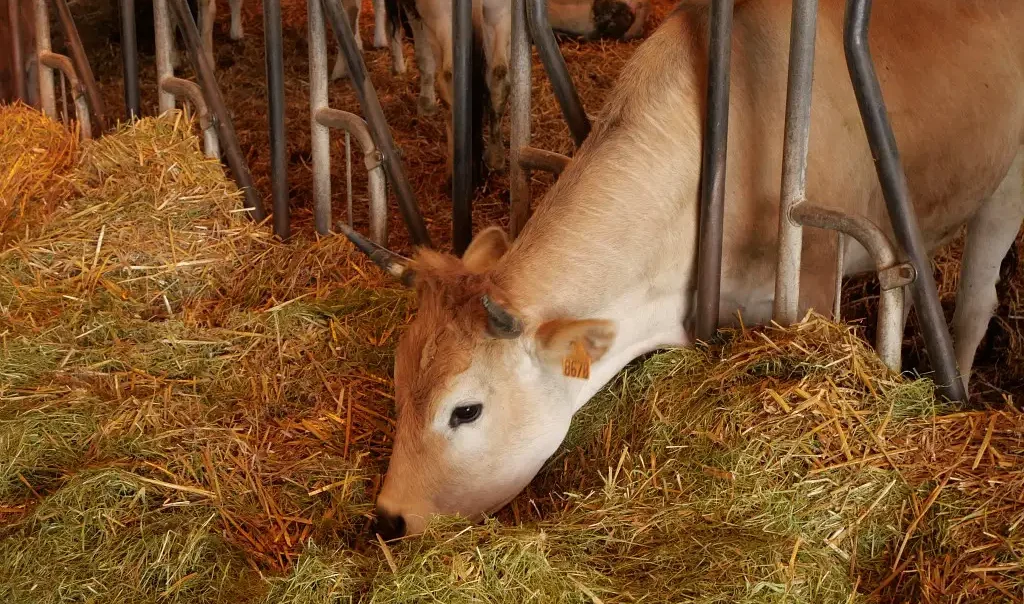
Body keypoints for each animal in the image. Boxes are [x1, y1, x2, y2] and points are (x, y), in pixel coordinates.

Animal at [342, 0, 1024, 540]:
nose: (389, 517)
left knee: (973, 306)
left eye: (465, 411)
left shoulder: (811, 279)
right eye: (397, 379)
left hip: (1005, 188)